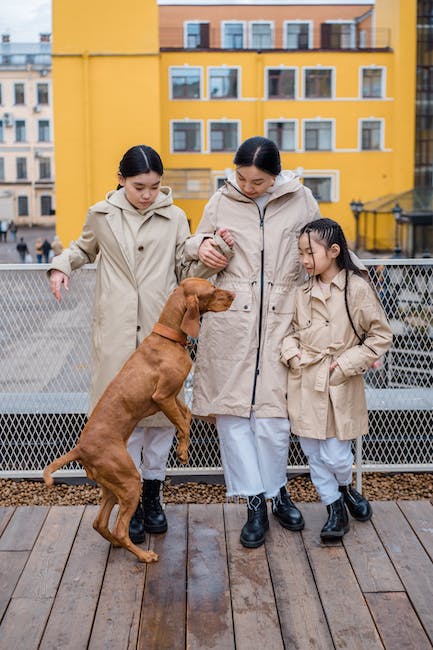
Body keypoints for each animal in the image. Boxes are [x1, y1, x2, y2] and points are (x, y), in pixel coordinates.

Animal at [43, 278, 233, 560]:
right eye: (211, 290)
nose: (234, 295)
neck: (168, 338)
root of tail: (80, 448)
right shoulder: (163, 396)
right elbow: (183, 423)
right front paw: (183, 451)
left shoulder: (171, 396)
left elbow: (186, 417)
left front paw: (182, 448)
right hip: (129, 480)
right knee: (120, 528)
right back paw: (143, 555)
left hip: (113, 486)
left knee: (100, 523)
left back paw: (117, 543)